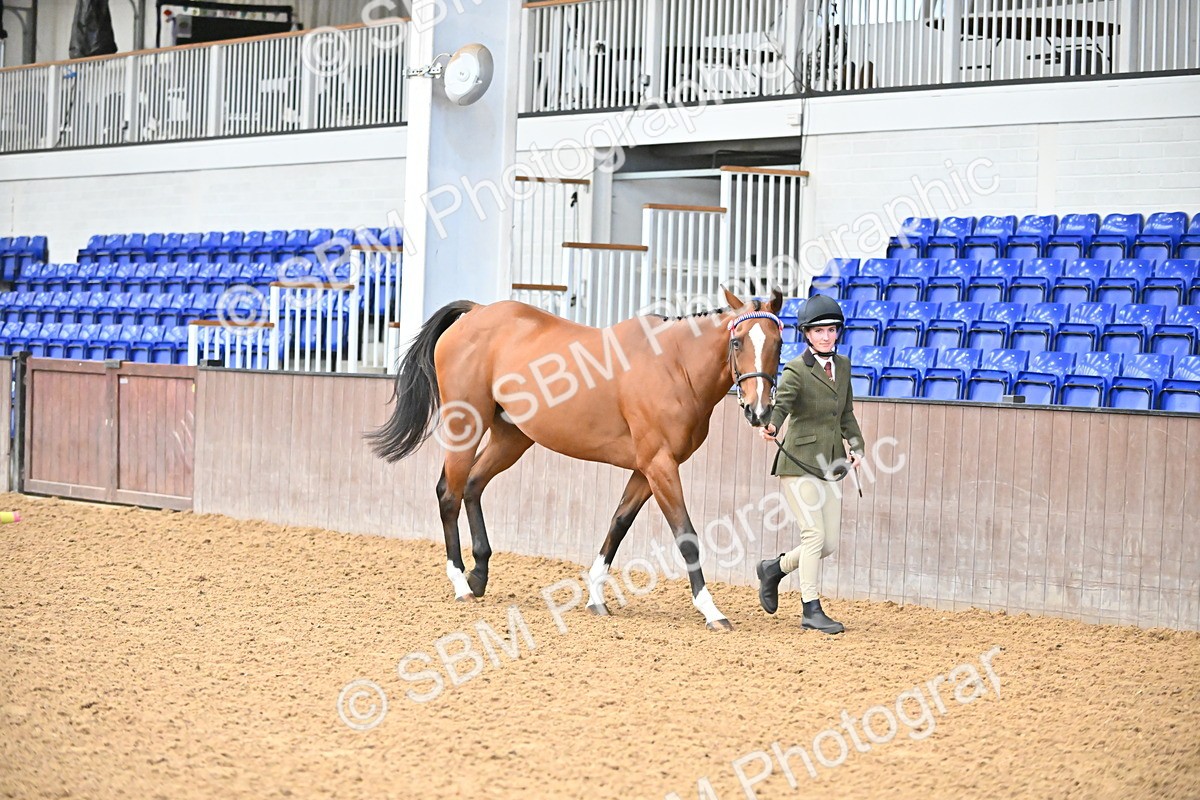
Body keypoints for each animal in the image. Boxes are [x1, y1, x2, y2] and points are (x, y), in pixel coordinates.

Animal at [367, 287, 784, 631]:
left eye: (779, 343)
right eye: (737, 341)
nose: (760, 411)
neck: (674, 366)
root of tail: (478, 312)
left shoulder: (646, 468)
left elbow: (618, 523)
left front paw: (597, 597)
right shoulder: (660, 465)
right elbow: (686, 536)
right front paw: (711, 610)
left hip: (511, 437)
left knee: (472, 485)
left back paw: (479, 574)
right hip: (465, 426)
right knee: (449, 493)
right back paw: (460, 583)